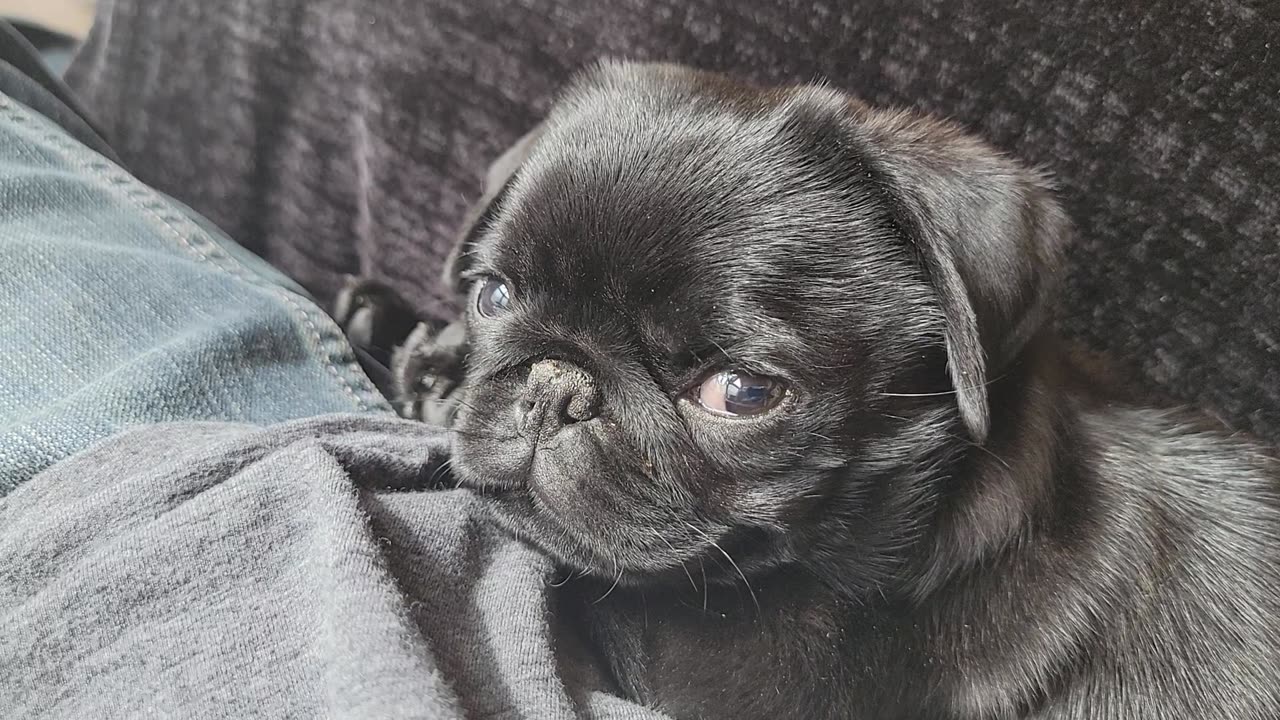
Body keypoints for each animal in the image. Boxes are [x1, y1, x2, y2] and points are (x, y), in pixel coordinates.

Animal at [337, 61, 1280, 717]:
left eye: (741, 393)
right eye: (492, 296)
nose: (555, 386)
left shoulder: (730, 677)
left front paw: (422, 367)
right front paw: (417, 339)